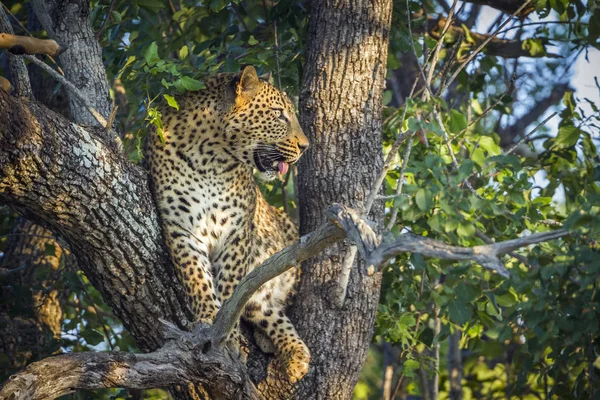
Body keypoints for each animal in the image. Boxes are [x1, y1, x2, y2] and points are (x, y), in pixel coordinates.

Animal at [146, 64, 310, 382]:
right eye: (278, 114)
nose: (305, 147)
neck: (211, 158)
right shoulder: (180, 227)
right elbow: (196, 276)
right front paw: (209, 318)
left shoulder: (237, 233)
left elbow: (231, 288)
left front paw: (229, 336)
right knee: (266, 311)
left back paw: (293, 354)